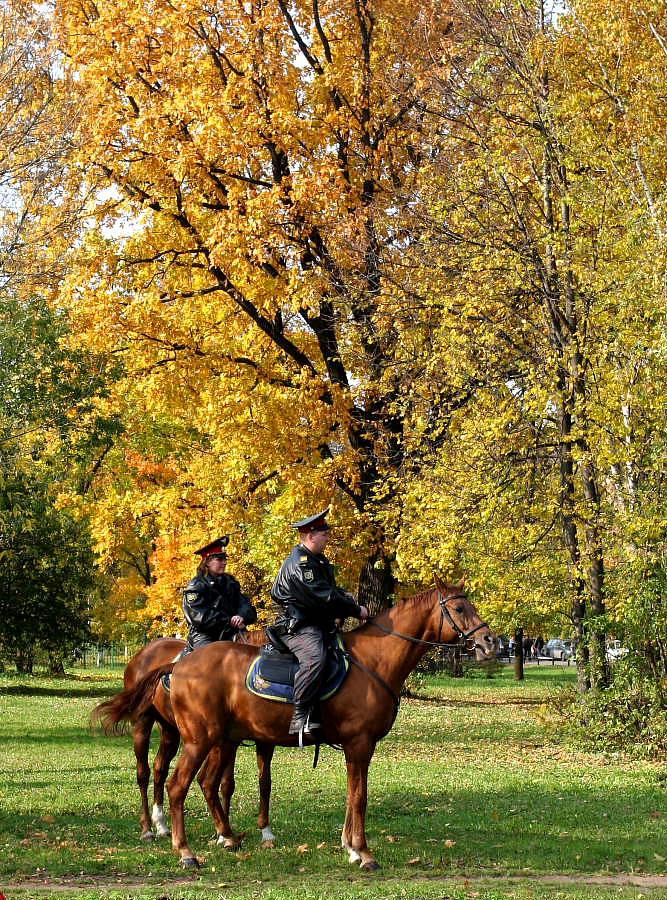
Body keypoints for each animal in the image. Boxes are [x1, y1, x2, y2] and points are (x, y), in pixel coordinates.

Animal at [113, 628, 272, 848]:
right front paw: (223, 834)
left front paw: (257, 832)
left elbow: (256, 783)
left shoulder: (261, 740)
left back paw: (161, 824)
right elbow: (223, 783)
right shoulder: (223, 743)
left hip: (170, 731)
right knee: (143, 773)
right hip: (142, 724)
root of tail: (142, 654)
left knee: (160, 769)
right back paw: (147, 829)